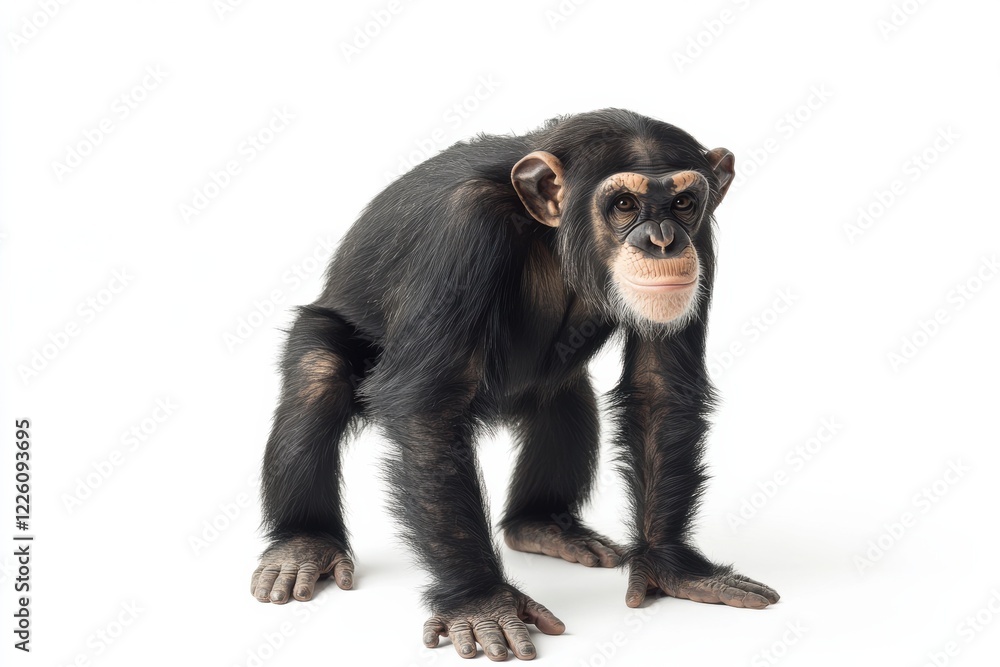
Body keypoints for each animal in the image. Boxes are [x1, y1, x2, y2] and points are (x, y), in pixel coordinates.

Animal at [250, 108, 779, 661]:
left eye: (683, 203)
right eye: (625, 205)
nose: (662, 239)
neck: (550, 232)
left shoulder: (704, 244)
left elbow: (660, 387)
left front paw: (670, 564)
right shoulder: (462, 228)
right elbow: (426, 409)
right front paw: (480, 601)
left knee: (569, 404)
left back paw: (543, 526)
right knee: (317, 380)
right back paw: (303, 544)